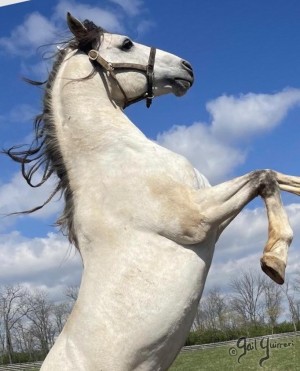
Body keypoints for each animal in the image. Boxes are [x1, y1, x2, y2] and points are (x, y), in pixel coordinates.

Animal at [8, 13, 300, 371]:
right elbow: (264, 178)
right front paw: (274, 263)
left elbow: (273, 175)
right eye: (126, 43)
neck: (114, 156)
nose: (188, 67)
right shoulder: (199, 218)